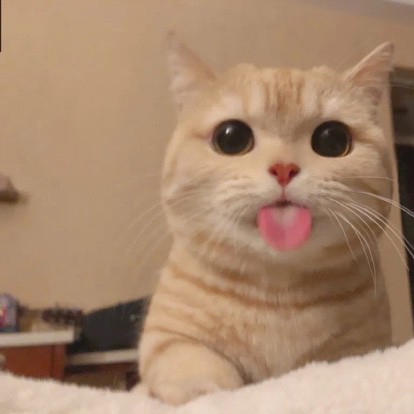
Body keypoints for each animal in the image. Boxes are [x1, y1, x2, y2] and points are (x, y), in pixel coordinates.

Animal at [138, 34, 395, 405]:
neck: (277, 293)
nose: (283, 168)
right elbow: (194, 365)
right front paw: (214, 391)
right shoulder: (169, 340)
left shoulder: (364, 348)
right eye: (231, 137)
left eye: (333, 139)